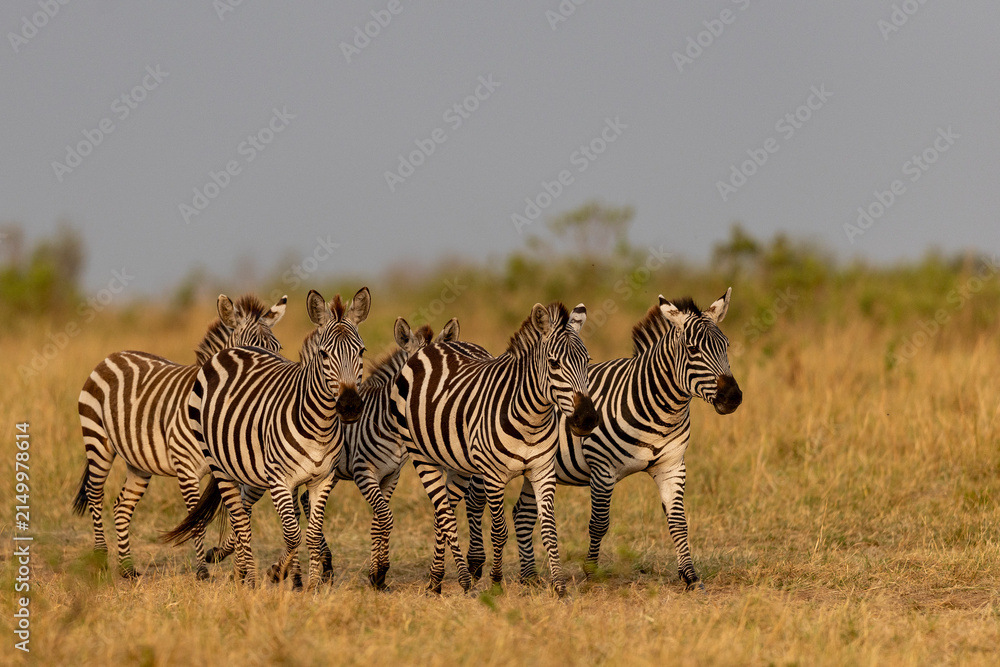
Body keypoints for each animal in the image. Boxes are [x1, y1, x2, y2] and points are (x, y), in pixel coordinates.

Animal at [73, 293, 287, 579]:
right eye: (250, 350)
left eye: (278, 348)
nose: (275, 382)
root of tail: (113, 355)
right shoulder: (187, 469)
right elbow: (199, 521)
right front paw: (203, 572)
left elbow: (239, 514)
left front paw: (233, 566)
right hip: (97, 441)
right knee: (95, 494)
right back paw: (100, 558)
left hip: (139, 462)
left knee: (121, 506)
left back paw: (128, 568)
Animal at [164, 288, 369, 590]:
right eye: (323, 354)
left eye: (361, 351)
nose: (350, 406)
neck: (319, 424)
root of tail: (230, 352)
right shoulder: (278, 480)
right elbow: (292, 534)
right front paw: (277, 572)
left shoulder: (321, 479)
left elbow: (310, 533)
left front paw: (311, 585)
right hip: (220, 465)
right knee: (240, 521)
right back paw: (248, 578)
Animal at [391, 302, 599, 596]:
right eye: (554, 363)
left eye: (587, 361)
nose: (587, 419)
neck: (531, 419)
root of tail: (434, 347)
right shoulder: (493, 476)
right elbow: (499, 531)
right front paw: (497, 582)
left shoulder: (543, 471)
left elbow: (549, 529)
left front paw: (559, 587)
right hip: (421, 456)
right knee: (445, 514)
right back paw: (460, 581)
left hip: (458, 464)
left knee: (442, 514)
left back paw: (436, 579)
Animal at [465, 290, 742, 590]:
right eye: (693, 350)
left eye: (726, 345)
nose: (733, 397)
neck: (660, 409)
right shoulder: (602, 468)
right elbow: (599, 523)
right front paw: (590, 573)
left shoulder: (672, 466)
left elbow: (678, 522)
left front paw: (690, 576)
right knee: (475, 501)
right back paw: (475, 565)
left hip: (534, 468)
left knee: (522, 514)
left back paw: (529, 577)